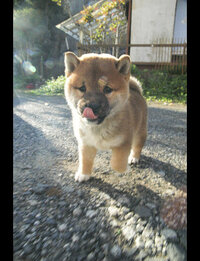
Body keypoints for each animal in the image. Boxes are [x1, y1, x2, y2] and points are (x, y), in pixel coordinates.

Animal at [64, 50, 147, 181]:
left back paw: (134, 158)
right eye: (82, 88)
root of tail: (137, 91)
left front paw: (124, 169)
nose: (91, 106)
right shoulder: (85, 143)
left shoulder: (124, 142)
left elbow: (116, 163)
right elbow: (85, 160)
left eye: (107, 89)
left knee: (137, 146)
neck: (99, 128)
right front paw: (83, 174)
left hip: (140, 131)